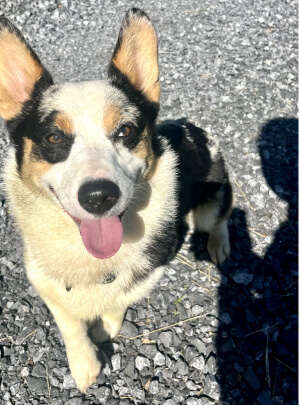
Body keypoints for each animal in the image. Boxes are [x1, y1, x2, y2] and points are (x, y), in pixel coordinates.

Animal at [0, 7, 233, 392]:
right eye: (53, 137)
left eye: (125, 131)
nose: (98, 197)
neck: (86, 259)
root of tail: (193, 127)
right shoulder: (43, 278)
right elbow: (69, 322)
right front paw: (85, 366)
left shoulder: (148, 272)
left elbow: (118, 300)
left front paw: (105, 327)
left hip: (211, 200)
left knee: (221, 218)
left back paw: (219, 246)